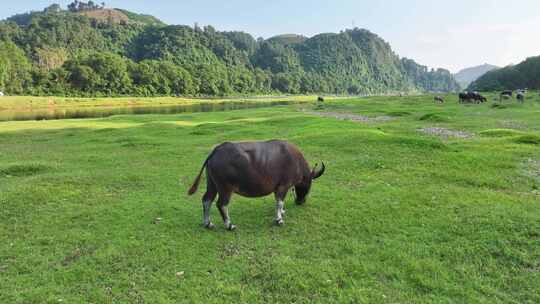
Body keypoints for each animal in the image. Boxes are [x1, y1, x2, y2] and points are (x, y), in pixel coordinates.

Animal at [188, 140, 326, 230]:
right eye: (309, 185)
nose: (300, 202)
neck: (295, 161)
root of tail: (215, 151)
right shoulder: (283, 186)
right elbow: (280, 202)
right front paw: (279, 220)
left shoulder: (278, 189)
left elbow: (279, 203)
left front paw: (282, 212)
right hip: (225, 188)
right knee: (221, 204)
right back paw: (229, 225)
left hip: (212, 184)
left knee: (207, 200)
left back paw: (208, 223)